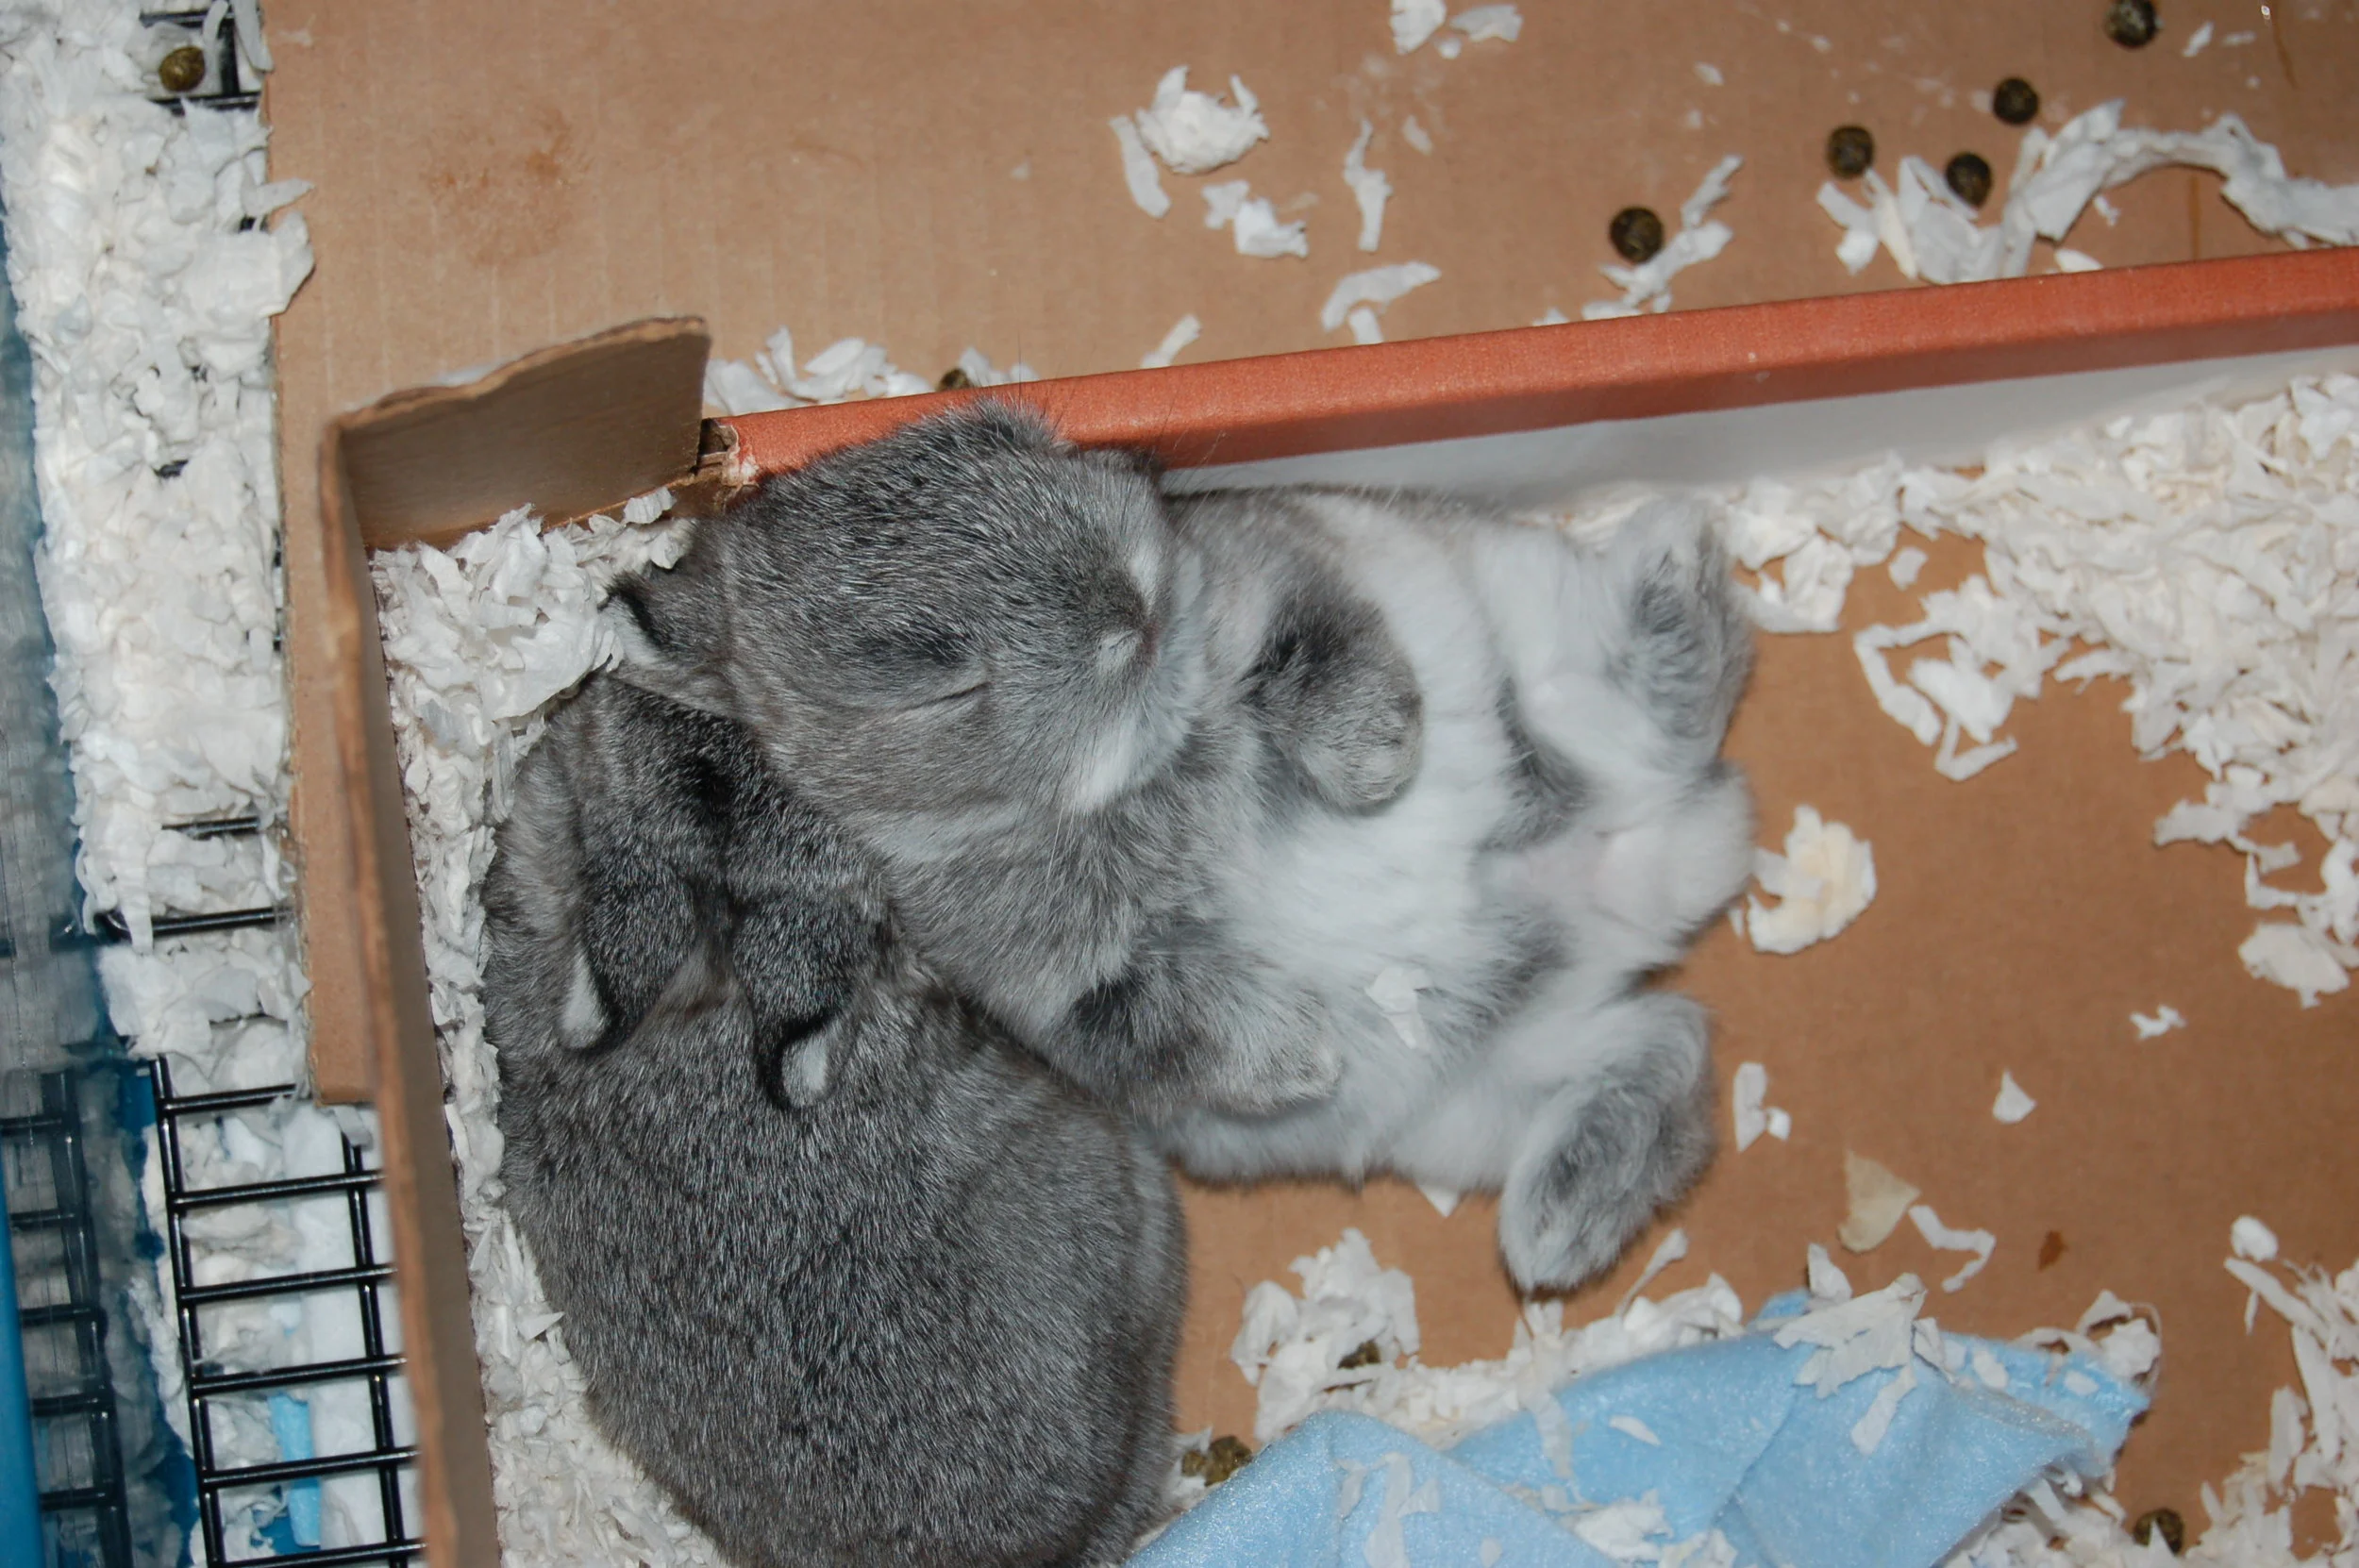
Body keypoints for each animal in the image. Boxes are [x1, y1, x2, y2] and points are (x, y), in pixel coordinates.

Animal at [612, 403, 1753, 1291]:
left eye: (1017, 432)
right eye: (933, 685)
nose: (1129, 600)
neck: (1143, 766)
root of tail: (1645, 874)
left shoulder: (1279, 570)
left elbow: (1327, 650)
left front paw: (1375, 765)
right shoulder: (1079, 987)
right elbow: (1186, 1023)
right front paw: (1308, 1051)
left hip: (1532, 627)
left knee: (1663, 719)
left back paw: (1678, 547)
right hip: (1489, 1093)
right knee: (1665, 1045)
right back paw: (1557, 1222)